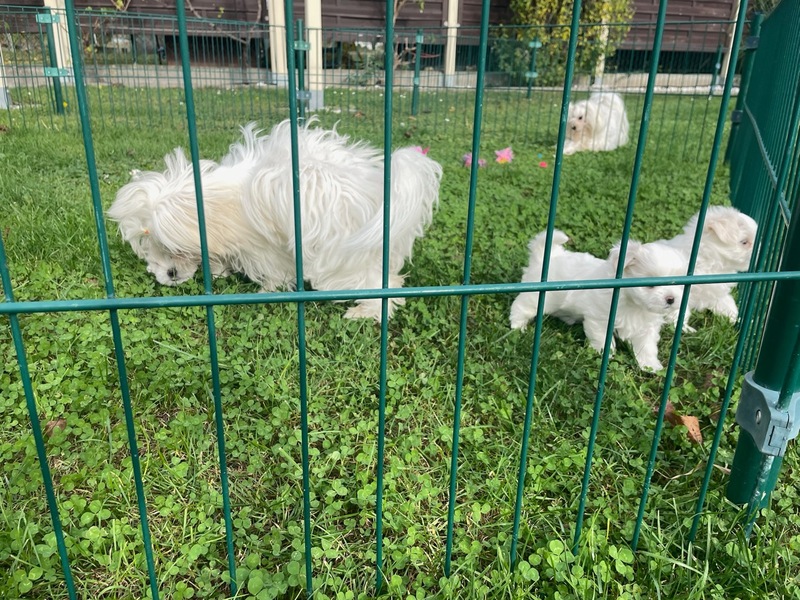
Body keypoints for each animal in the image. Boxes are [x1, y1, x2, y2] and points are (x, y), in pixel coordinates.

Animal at [108, 119, 442, 320]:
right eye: (149, 250)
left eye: (168, 246)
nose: (166, 275)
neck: (219, 204)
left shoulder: (262, 248)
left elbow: (272, 271)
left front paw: (266, 290)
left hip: (339, 259)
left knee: (384, 282)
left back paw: (367, 310)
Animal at [509, 230, 687, 371]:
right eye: (651, 284)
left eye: (678, 284)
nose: (671, 299)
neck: (632, 303)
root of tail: (546, 257)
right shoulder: (600, 319)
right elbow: (603, 340)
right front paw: (605, 356)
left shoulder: (647, 328)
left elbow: (647, 347)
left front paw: (651, 365)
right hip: (536, 297)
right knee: (521, 307)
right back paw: (517, 327)